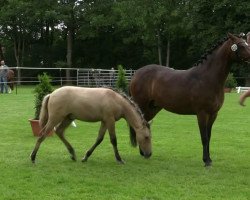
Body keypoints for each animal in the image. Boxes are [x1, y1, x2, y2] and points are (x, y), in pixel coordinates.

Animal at [129, 33, 250, 167]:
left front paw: (209, 159)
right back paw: (144, 153)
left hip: (153, 108)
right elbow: (204, 138)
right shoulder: (202, 114)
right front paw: (206, 161)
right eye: (241, 45)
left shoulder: (213, 114)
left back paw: (145, 153)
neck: (207, 78)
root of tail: (136, 74)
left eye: (247, 43)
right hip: (142, 106)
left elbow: (209, 136)